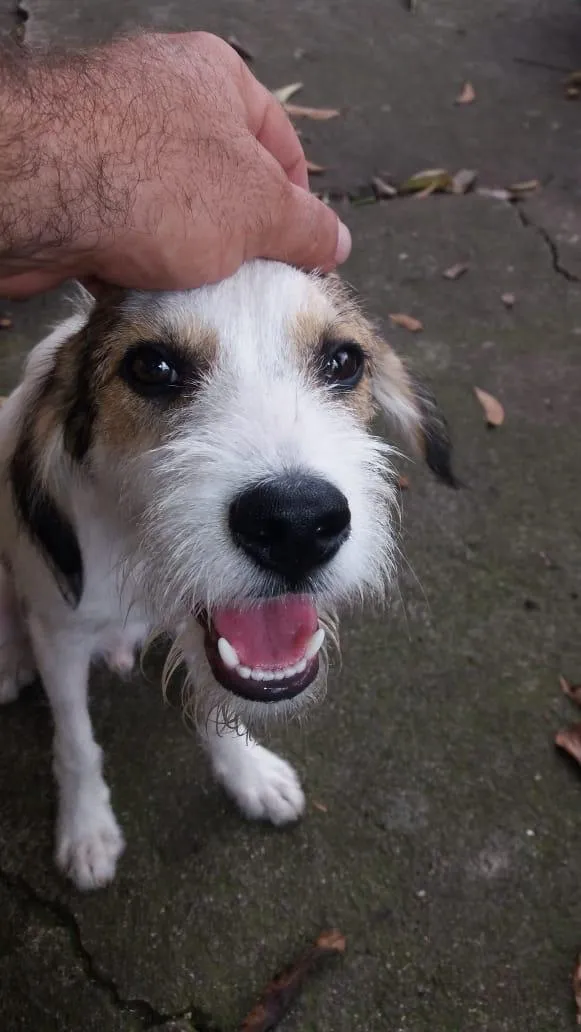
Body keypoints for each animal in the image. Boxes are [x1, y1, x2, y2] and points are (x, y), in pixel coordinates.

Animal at [0, 262, 454, 891]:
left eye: (343, 361)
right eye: (152, 367)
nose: (296, 525)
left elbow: (218, 704)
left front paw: (248, 774)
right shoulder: (62, 635)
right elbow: (76, 742)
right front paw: (86, 827)